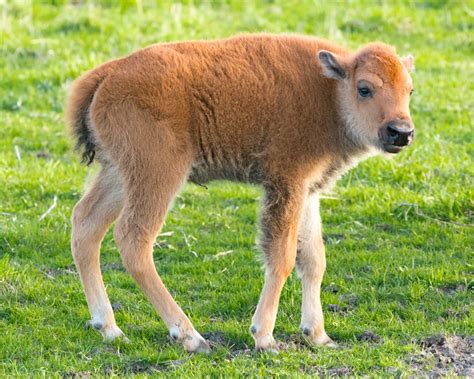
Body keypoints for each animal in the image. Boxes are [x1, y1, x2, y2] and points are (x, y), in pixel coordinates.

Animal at [66, 33, 414, 354]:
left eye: (410, 90)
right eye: (364, 88)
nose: (401, 132)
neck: (330, 91)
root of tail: (107, 75)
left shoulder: (308, 191)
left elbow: (314, 258)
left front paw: (318, 335)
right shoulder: (286, 184)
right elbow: (283, 256)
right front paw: (265, 337)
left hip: (119, 175)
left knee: (86, 223)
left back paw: (110, 328)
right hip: (157, 176)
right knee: (133, 240)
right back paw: (191, 337)